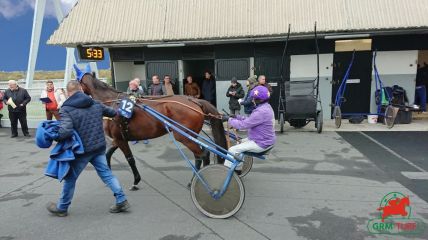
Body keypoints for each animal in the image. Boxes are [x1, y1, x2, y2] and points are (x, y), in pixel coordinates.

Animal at [78, 72, 229, 190]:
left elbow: (130, 159)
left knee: (203, 154)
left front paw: (136, 181)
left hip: (183, 136)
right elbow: (107, 155)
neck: (112, 104)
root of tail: (194, 101)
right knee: (199, 156)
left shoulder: (120, 139)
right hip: (191, 135)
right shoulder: (118, 139)